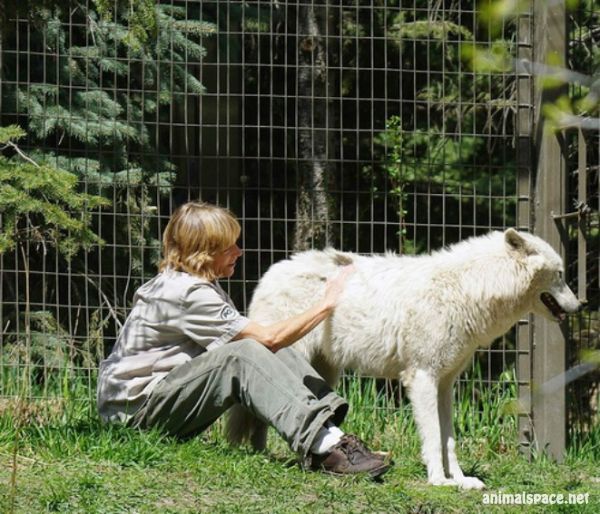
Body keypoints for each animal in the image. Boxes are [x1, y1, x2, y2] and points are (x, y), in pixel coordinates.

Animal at [225, 229, 580, 488]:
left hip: (323, 370)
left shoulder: (445, 384)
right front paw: (439, 481)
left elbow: (449, 440)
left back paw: (266, 453)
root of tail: (271, 271)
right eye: (561, 275)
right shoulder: (421, 378)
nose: (580, 307)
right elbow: (433, 438)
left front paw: (461, 480)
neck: (467, 289)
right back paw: (266, 455)